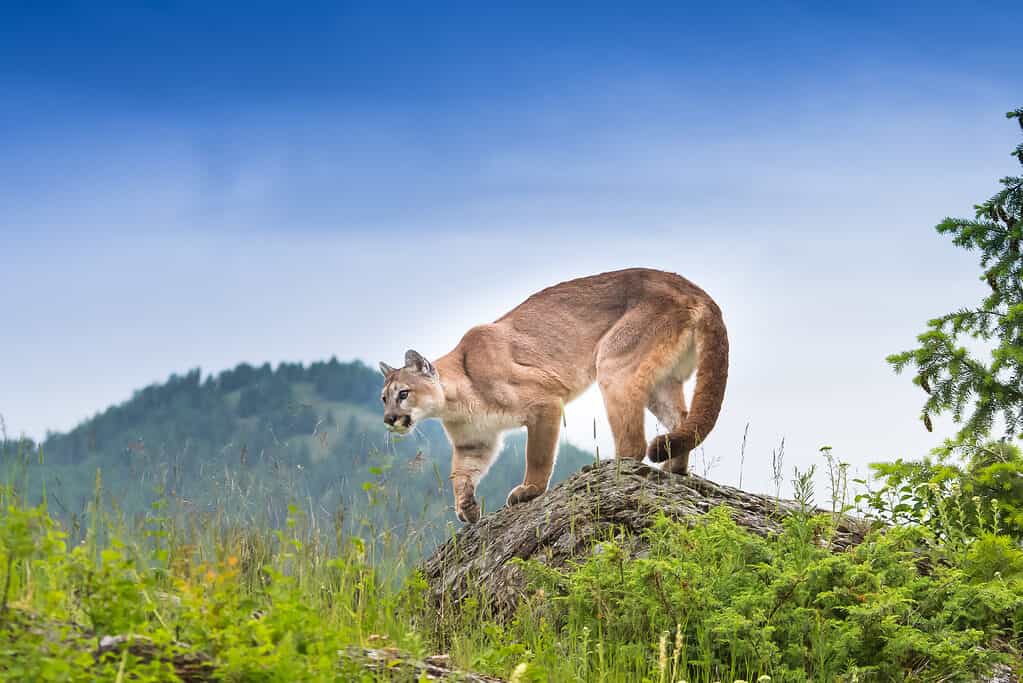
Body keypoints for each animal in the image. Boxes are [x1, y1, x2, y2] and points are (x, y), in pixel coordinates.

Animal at [382, 265, 728, 523]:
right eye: (383, 398)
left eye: (403, 393)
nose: (388, 419)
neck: (456, 402)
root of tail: (693, 288)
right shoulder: (475, 441)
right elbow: (460, 474)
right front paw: (466, 508)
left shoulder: (544, 402)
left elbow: (537, 455)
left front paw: (529, 491)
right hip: (661, 382)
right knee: (683, 420)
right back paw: (674, 469)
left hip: (614, 364)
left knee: (635, 442)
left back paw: (611, 468)